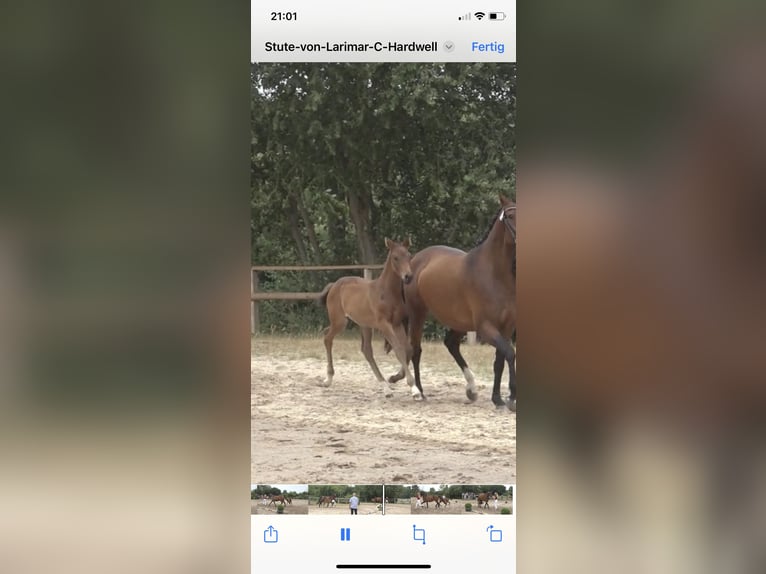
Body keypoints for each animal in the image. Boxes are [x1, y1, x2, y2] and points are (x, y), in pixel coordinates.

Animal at [318, 238, 421, 398]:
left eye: (409, 256)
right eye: (395, 258)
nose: (408, 277)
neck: (386, 292)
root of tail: (334, 284)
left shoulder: (396, 324)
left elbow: (407, 349)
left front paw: (397, 378)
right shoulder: (384, 324)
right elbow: (398, 348)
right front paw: (414, 388)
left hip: (364, 325)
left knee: (366, 350)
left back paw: (385, 387)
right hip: (340, 321)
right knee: (328, 338)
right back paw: (328, 379)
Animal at [395, 195, 516, 409]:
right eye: (510, 216)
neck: (495, 274)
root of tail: (415, 260)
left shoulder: (506, 327)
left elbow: (500, 361)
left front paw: (498, 399)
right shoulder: (486, 327)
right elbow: (509, 354)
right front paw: (510, 398)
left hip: (460, 321)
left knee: (450, 343)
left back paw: (472, 389)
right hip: (418, 313)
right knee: (416, 349)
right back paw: (419, 391)